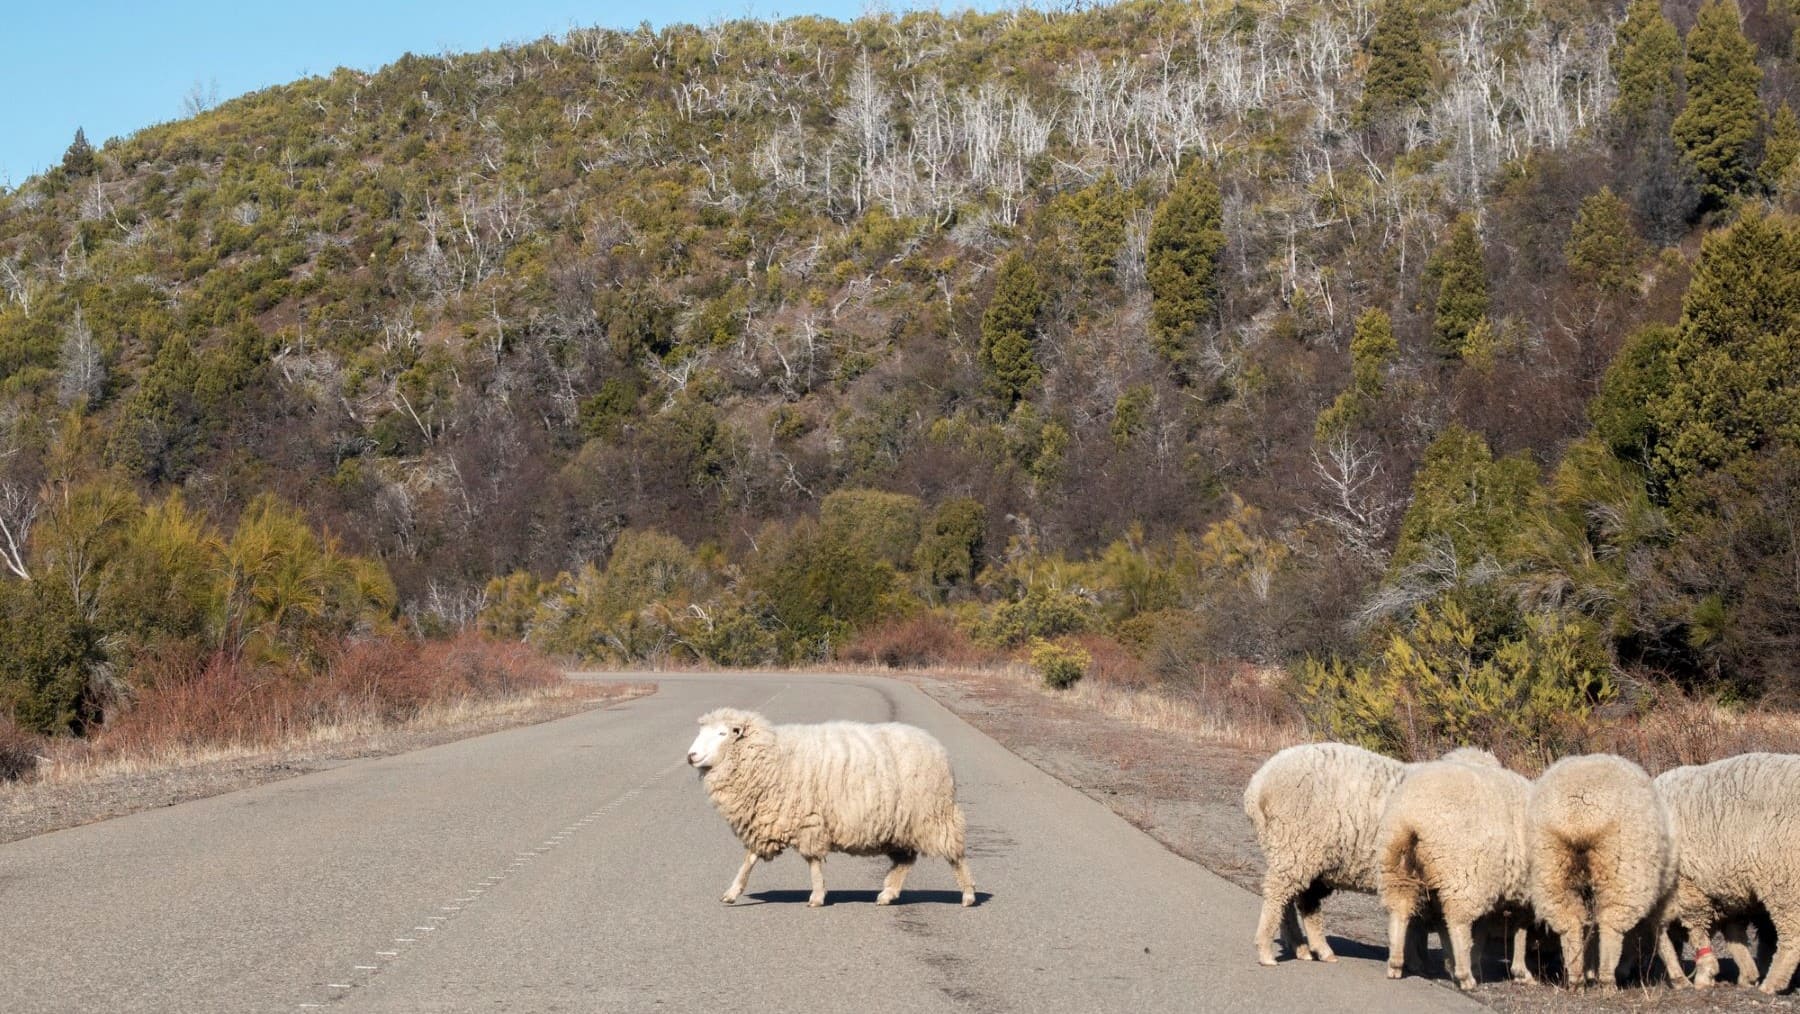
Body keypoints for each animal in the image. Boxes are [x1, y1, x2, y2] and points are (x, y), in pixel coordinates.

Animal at [687, 706, 979, 911]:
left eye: (722, 733)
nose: (691, 756)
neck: (770, 755)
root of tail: (936, 746)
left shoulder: (807, 820)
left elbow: (813, 861)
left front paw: (817, 896)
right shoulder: (769, 820)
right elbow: (749, 860)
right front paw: (732, 892)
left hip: (934, 814)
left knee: (955, 854)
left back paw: (968, 894)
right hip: (901, 825)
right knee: (905, 860)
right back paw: (887, 894)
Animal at [1245, 745, 1483, 965]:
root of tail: (1258, 784)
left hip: (1292, 853)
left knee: (1293, 901)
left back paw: (1304, 948)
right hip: (1295, 846)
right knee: (1279, 895)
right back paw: (1268, 951)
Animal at [1375, 745, 1533, 994]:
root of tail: (1410, 816)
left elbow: (1488, 928)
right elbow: (1519, 929)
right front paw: (1519, 971)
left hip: (1395, 863)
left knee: (1400, 909)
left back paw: (1396, 964)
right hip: (1464, 874)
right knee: (1458, 922)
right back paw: (1465, 975)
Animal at [1526, 752, 1677, 994]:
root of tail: (1577, 816)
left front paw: (1590, 970)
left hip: (1550, 867)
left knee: (1570, 923)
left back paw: (1577, 979)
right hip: (1620, 870)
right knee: (1610, 925)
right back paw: (1607, 978)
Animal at [1656, 749, 1800, 994]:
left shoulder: (1688, 885)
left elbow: (1691, 928)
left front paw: (1701, 975)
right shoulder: (1728, 887)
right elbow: (1734, 934)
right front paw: (1747, 975)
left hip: (1784, 880)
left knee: (1792, 936)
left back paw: (1771, 984)